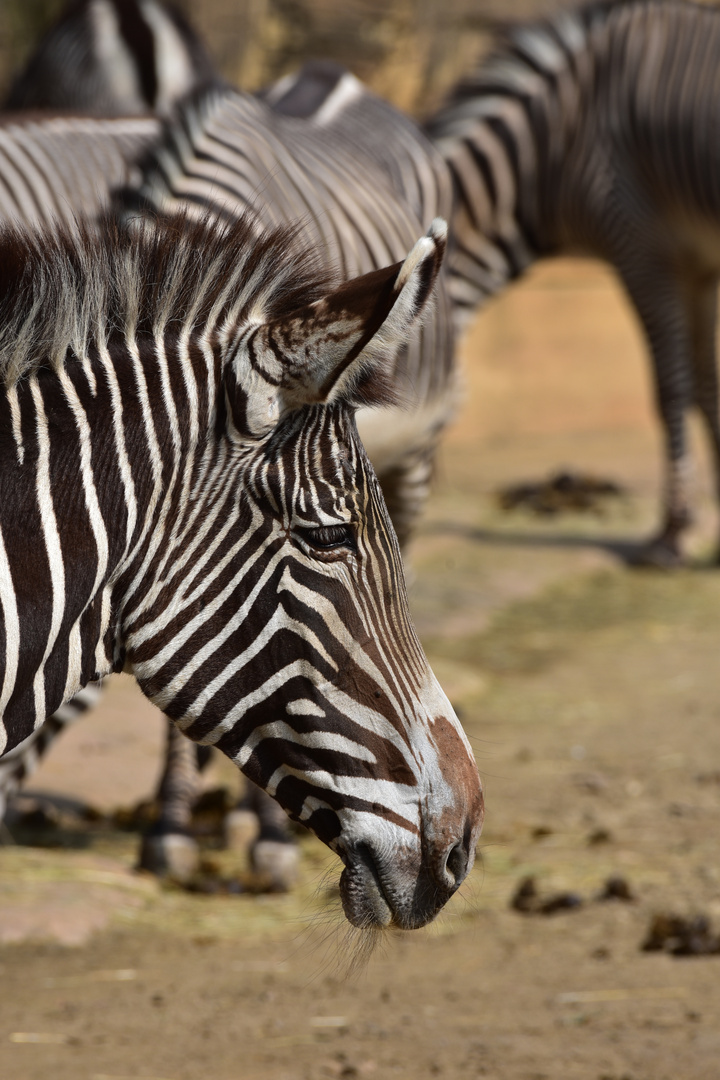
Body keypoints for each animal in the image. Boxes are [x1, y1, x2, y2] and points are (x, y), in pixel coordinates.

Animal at [425, 0, 720, 570]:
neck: (554, 148)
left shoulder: (643, 251)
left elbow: (672, 388)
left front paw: (674, 533)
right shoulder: (698, 265)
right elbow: (708, 385)